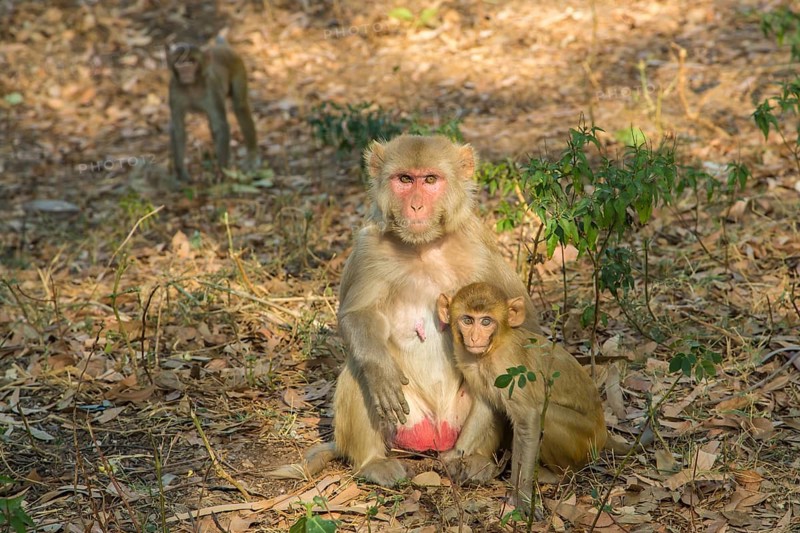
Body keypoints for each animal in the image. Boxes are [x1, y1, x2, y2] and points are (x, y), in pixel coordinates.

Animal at [166, 38, 259, 181]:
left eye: (191, 61)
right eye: (179, 62)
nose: (185, 70)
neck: (192, 85)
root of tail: (220, 46)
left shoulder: (211, 89)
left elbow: (220, 126)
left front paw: (222, 171)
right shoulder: (174, 90)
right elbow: (178, 128)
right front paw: (181, 173)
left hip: (237, 64)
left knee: (240, 106)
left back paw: (252, 153)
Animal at [267, 134, 541, 486]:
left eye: (431, 180)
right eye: (406, 180)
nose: (416, 205)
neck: (423, 246)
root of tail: (436, 436)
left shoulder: (480, 247)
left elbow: (523, 328)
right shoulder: (368, 248)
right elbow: (356, 316)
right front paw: (380, 372)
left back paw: (470, 458)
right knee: (358, 369)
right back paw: (372, 461)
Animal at [436, 282, 608, 514]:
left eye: (486, 321)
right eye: (468, 320)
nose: (474, 338)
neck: (492, 349)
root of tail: (604, 433)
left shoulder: (508, 369)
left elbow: (529, 419)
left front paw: (523, 495)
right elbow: (484, 406)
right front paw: (455, 453)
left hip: (586, 442)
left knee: (547, 417)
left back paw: (556, 476)